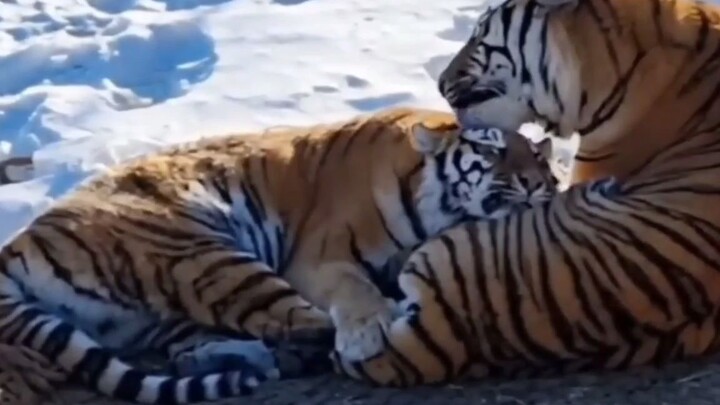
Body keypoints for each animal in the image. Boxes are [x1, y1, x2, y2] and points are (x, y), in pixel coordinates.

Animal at [0, 106, 558, 404]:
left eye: (537, 157)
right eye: (490, 151)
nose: (537, 184)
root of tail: (17, 244)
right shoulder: (317, 258)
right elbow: (355, 290)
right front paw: (371, 329)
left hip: (145, 313)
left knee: (207, 343)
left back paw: (239, 360)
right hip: (201, 252)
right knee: (301, 323)